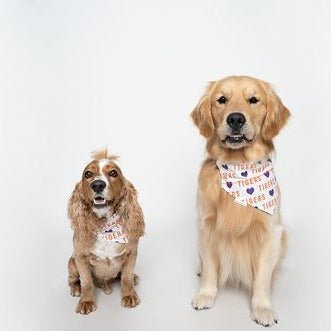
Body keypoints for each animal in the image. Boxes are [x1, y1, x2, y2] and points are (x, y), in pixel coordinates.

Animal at [68, 150, 145, 316]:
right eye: (88, 174)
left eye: (113, 173)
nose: (97, 184)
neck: (105, 225)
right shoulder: (80, 257)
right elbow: (87, 282)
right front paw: (86, 302)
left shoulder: (132, 253)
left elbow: (126, 278)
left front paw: (129, 295)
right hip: (71, 263)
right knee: (72, 278)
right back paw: (75, 288)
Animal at [192, 76, 290, 328]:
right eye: (222, 99)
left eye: (253, 100)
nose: (235, 118)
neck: (238, 167)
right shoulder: (206, 227)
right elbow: (210, 268)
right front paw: (205, 295)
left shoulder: (270, 232)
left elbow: (262, 277)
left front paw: (262, 308)